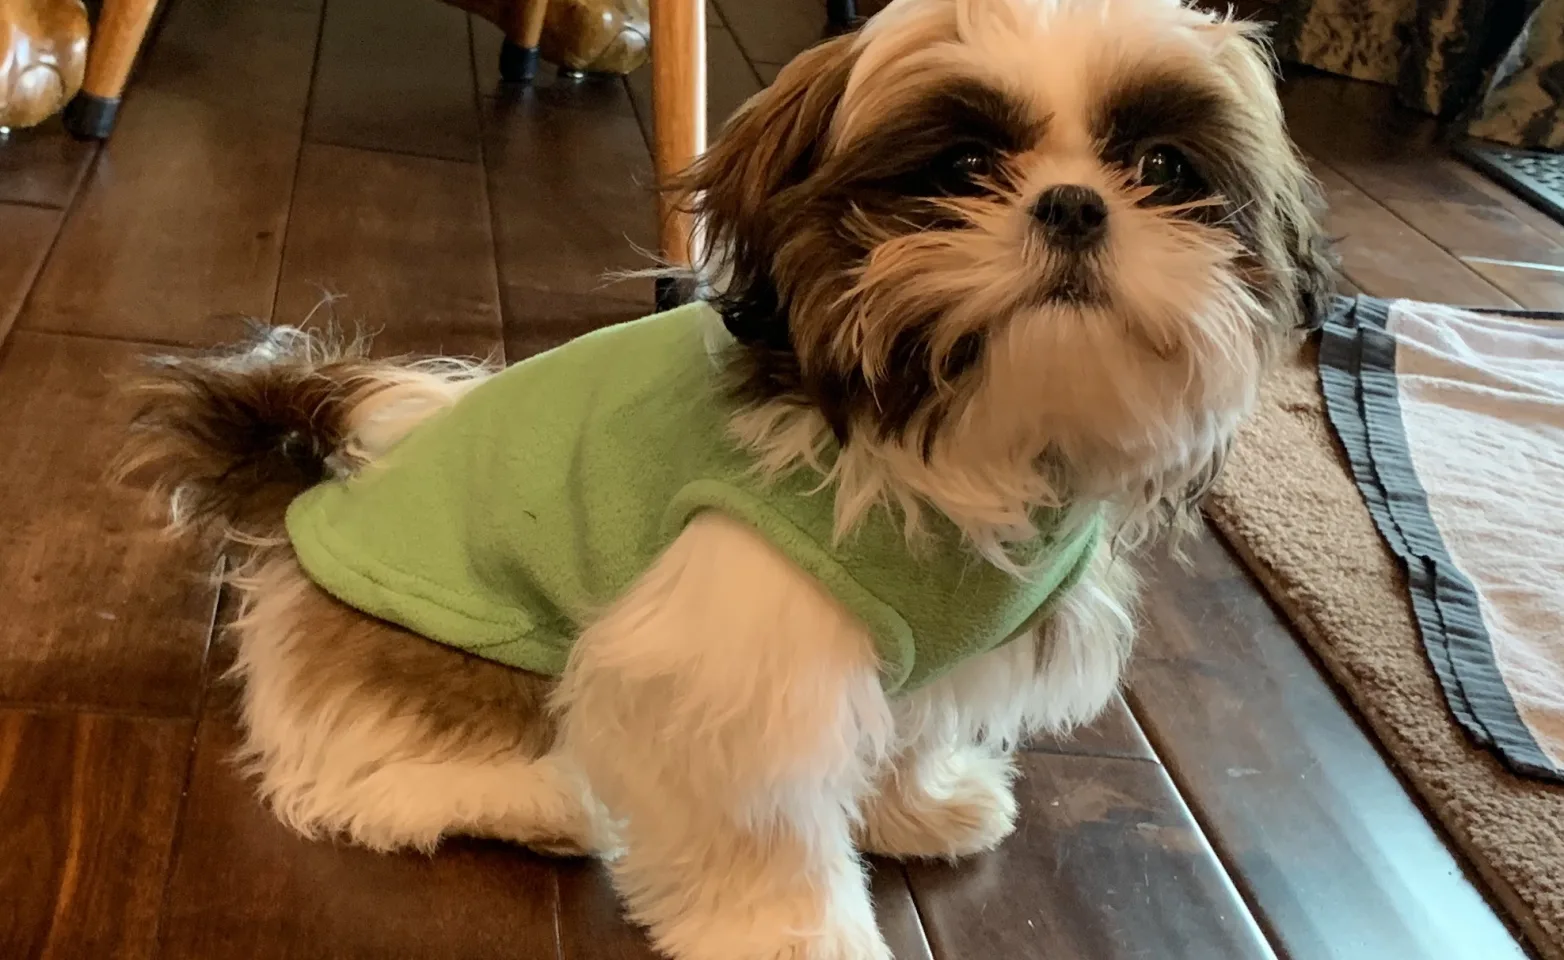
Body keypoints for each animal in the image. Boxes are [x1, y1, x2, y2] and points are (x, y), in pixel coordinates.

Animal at [118, 1, 1332, 960]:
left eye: (1163, 169)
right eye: (962, 170)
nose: (1075, 204)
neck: (956, 442)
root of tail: (311, 492)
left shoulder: (916, 655)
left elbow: (904, 731)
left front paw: (920, 808)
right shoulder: (728, 666)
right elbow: (761, 824)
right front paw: (794, 939)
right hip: (452, 657)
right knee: (354, 771)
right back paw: (534, 801)